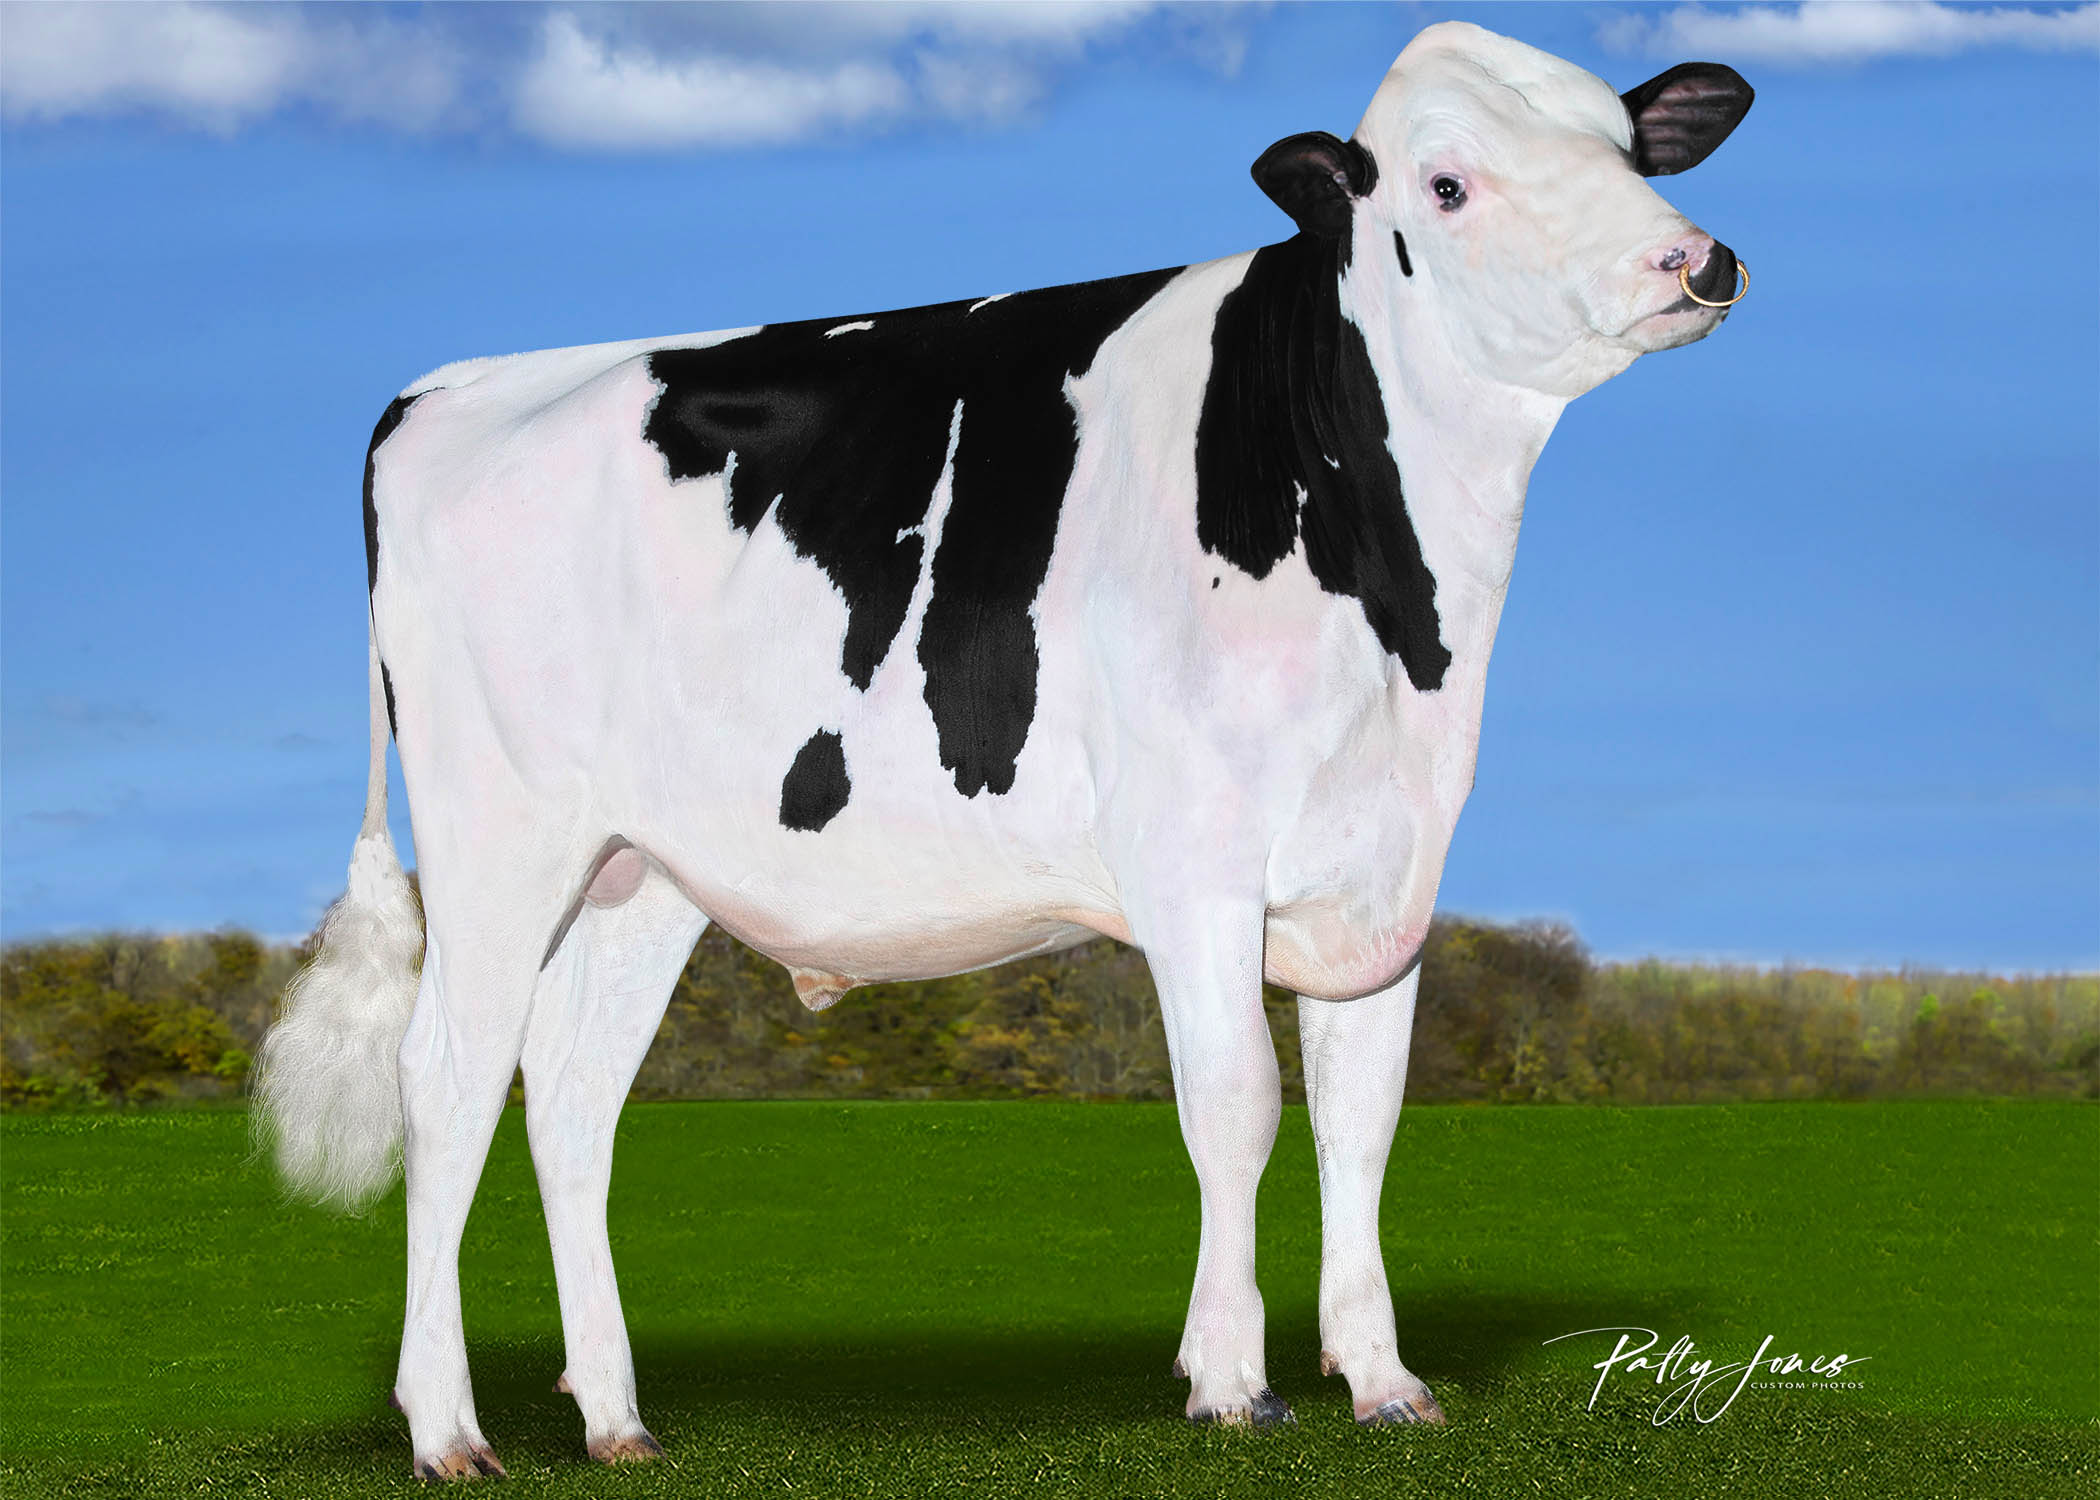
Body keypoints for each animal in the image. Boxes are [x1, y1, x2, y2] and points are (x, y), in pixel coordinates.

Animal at [256, 22, 1752, 1478]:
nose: (1696, 257)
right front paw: (1232, 1382)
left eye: (1626, 147)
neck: (1396, 598)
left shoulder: (1383, 870)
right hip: (499, 836)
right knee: (446, 1083)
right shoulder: (1192, 862)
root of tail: (453, 386)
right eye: (1447, 183)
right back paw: (446, 1428)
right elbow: (1237, 1102)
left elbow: (1362, 1116)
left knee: (569, 1099)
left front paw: (1382, 1381)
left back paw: (617, 1419)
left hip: (641, 875)